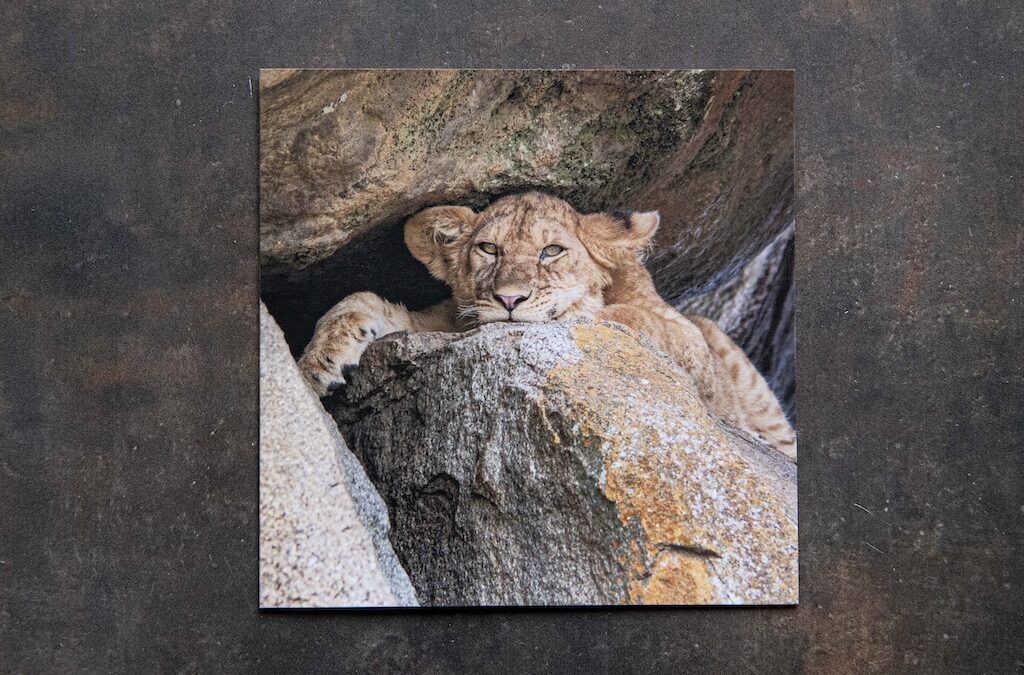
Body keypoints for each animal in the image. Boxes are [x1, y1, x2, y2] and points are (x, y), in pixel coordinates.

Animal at [298, 191, 796, 459]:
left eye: (551, 251)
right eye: (489, 249)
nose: (509, 300)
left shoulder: (691, 342)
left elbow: (624, 315)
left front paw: (575, 308)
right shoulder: (443, 321)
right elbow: (362, 301)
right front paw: (318, 363)